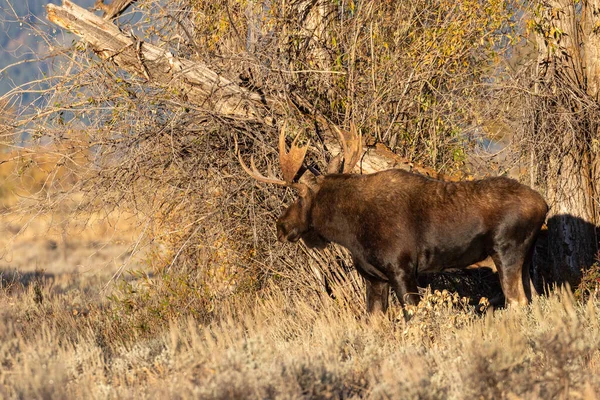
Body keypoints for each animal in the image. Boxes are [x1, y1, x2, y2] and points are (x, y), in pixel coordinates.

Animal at [239, 122, 548, 312]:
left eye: (300, 198)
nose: (281, 226)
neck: (349, 232)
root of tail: (544, 205)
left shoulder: (402, 270)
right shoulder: (375, 279)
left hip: (506, 253)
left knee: (518, 302)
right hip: (525, 259)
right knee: (535, 298)